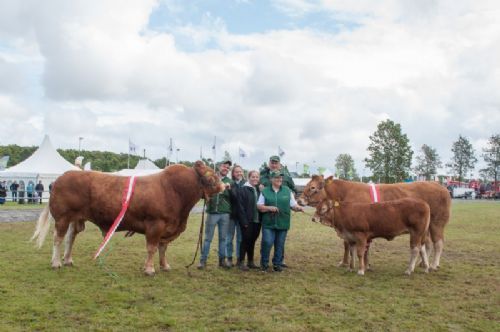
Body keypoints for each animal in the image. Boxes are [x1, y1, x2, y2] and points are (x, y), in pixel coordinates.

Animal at [31, 161, 225, 274]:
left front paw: (164, 266)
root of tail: (61, 177)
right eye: (211, 176)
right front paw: (149, 269)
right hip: (62, 217)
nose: (225, 186)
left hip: (76, 218)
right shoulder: (155, 225)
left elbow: (162, 249)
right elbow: (152, 248)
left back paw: (68, 260)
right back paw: (56, 263)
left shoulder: (168, 227)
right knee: (58, 238)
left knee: (70, 238)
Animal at [298, 175, 452, 272]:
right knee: (427, 244)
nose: (299, 200)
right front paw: (347, 263)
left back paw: (433, 265)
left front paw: (362, 265)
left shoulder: (362, 230)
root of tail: (440, 186)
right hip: (424, 228)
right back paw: (422, 264)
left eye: (312, 187)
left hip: (437, 223)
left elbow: (360, 248)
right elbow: (348, 245)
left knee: (438, 243)